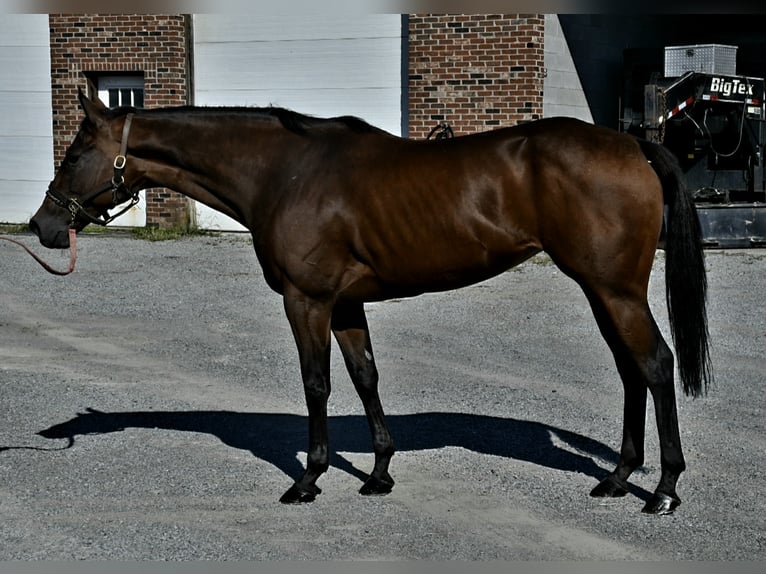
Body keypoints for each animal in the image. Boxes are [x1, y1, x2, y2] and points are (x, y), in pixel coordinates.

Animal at [31, 91, 712, 516]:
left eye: (74, 154)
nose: (43, 226)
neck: (284, 171)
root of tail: (633, 145)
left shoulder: (307, 301)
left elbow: (316, 383)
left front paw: (308, 479)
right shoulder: (345, 305)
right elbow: (365, 377)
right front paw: (380, 474)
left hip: (614, 290)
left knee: (656, 365)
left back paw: (664, 490)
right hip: (602, 291)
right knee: (631, 371)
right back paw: (618, 479)